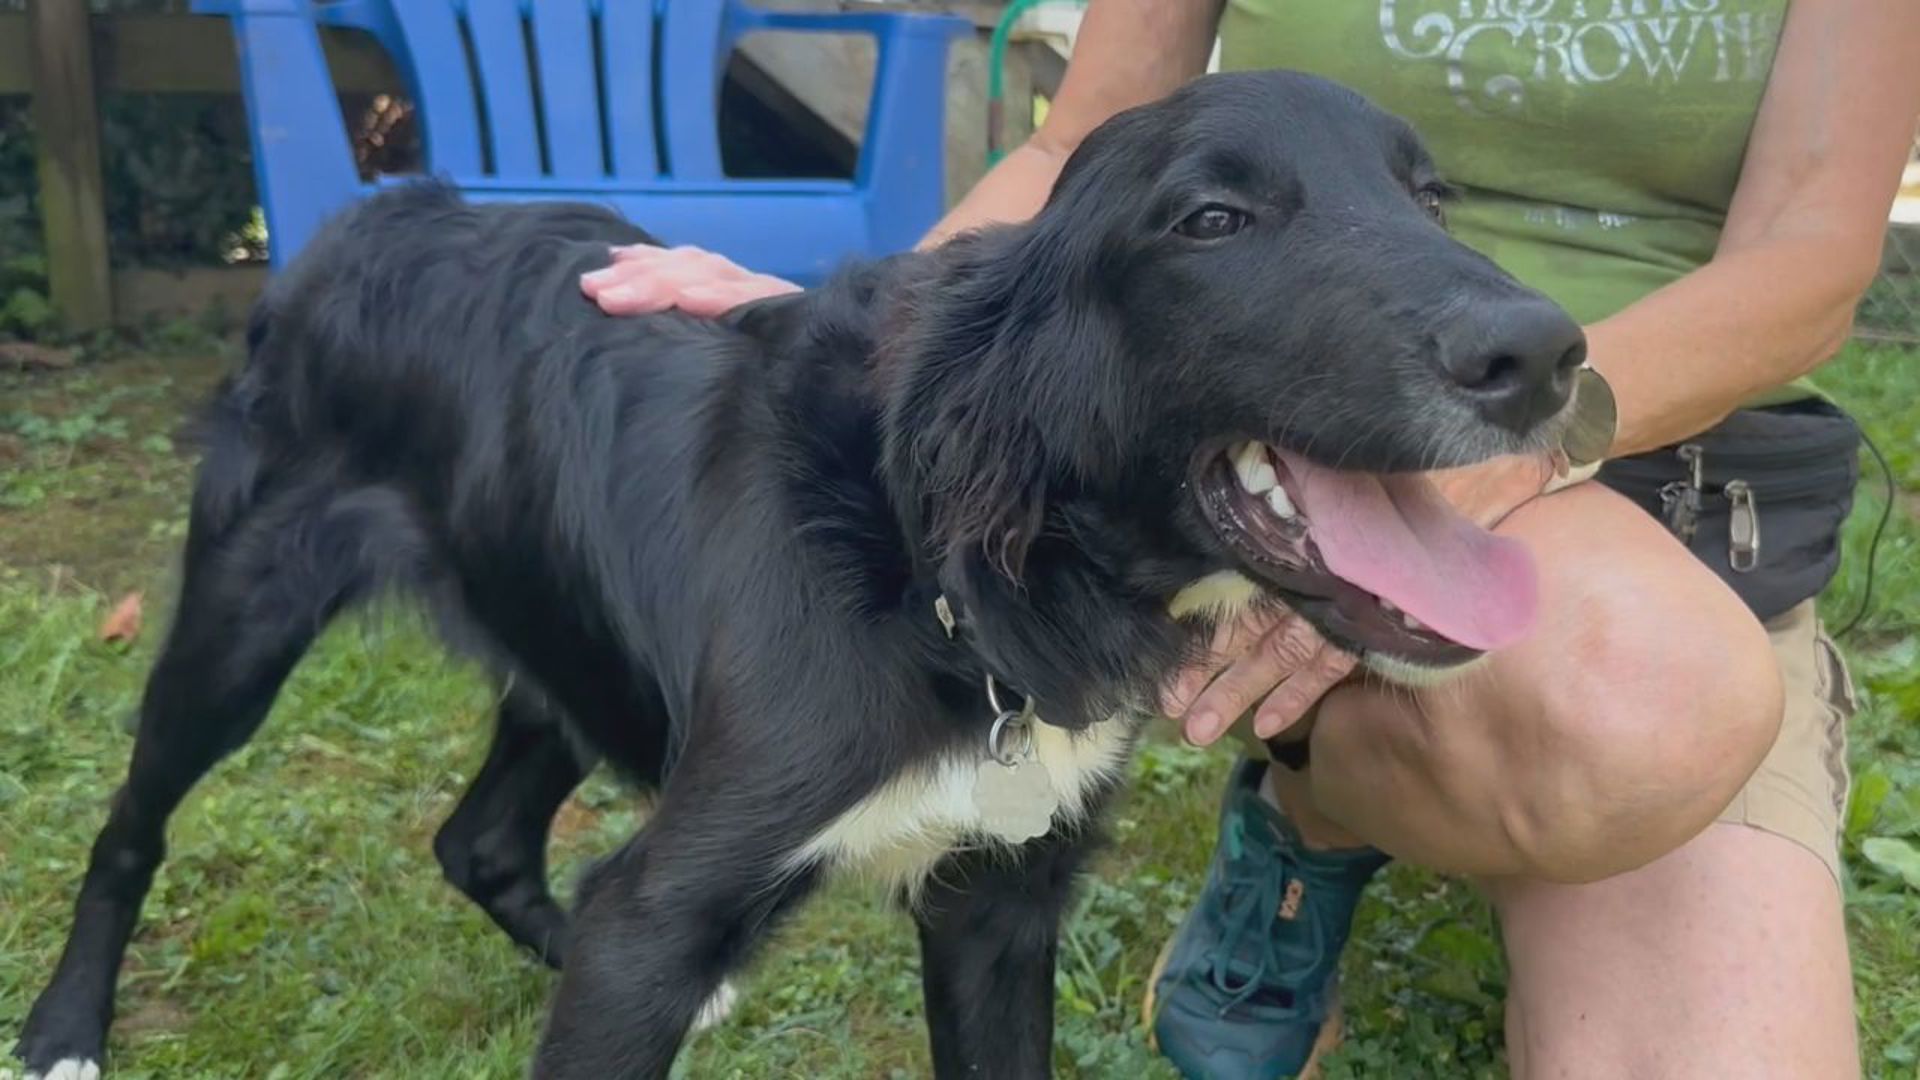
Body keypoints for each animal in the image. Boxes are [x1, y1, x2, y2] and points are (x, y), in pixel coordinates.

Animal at [15, 71, 1582, 1068]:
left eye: (1435, 197)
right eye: (1213, 222)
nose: (1547, 353)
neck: (951, 577)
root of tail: (391, 204)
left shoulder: (996, 910)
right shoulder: (666, 913)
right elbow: (628, 939)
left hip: (565, 641)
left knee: (484, 838)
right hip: (239, 620)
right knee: (131, 824)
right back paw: (64, 1030)